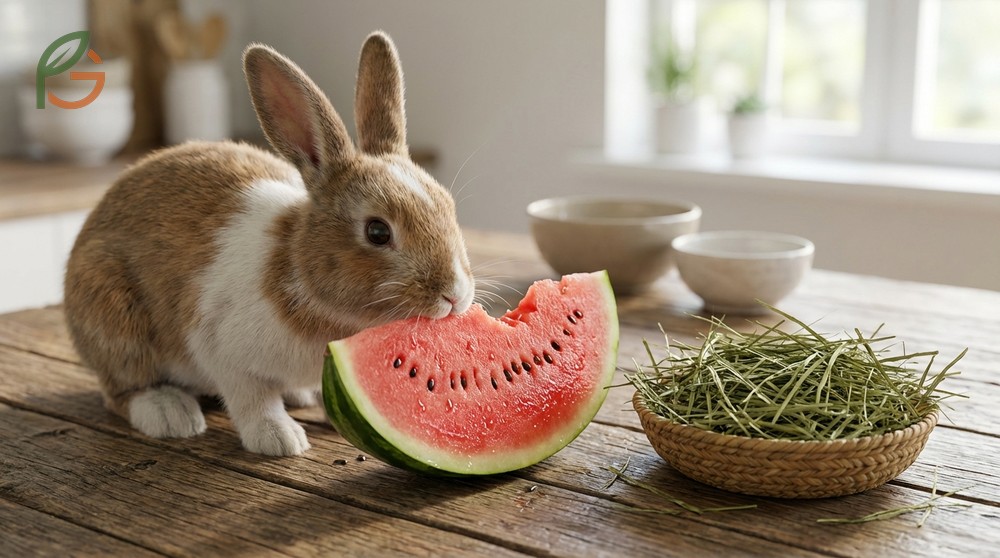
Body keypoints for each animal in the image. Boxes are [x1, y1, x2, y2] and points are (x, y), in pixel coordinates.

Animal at [63, 31, 476, 456]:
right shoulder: (222, 351)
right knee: (120, 391)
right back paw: (169, 413)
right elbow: (253, 400)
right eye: (378, 232)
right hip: (114, 320)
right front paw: (280, 439)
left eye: (448, 205)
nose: (454, 296)